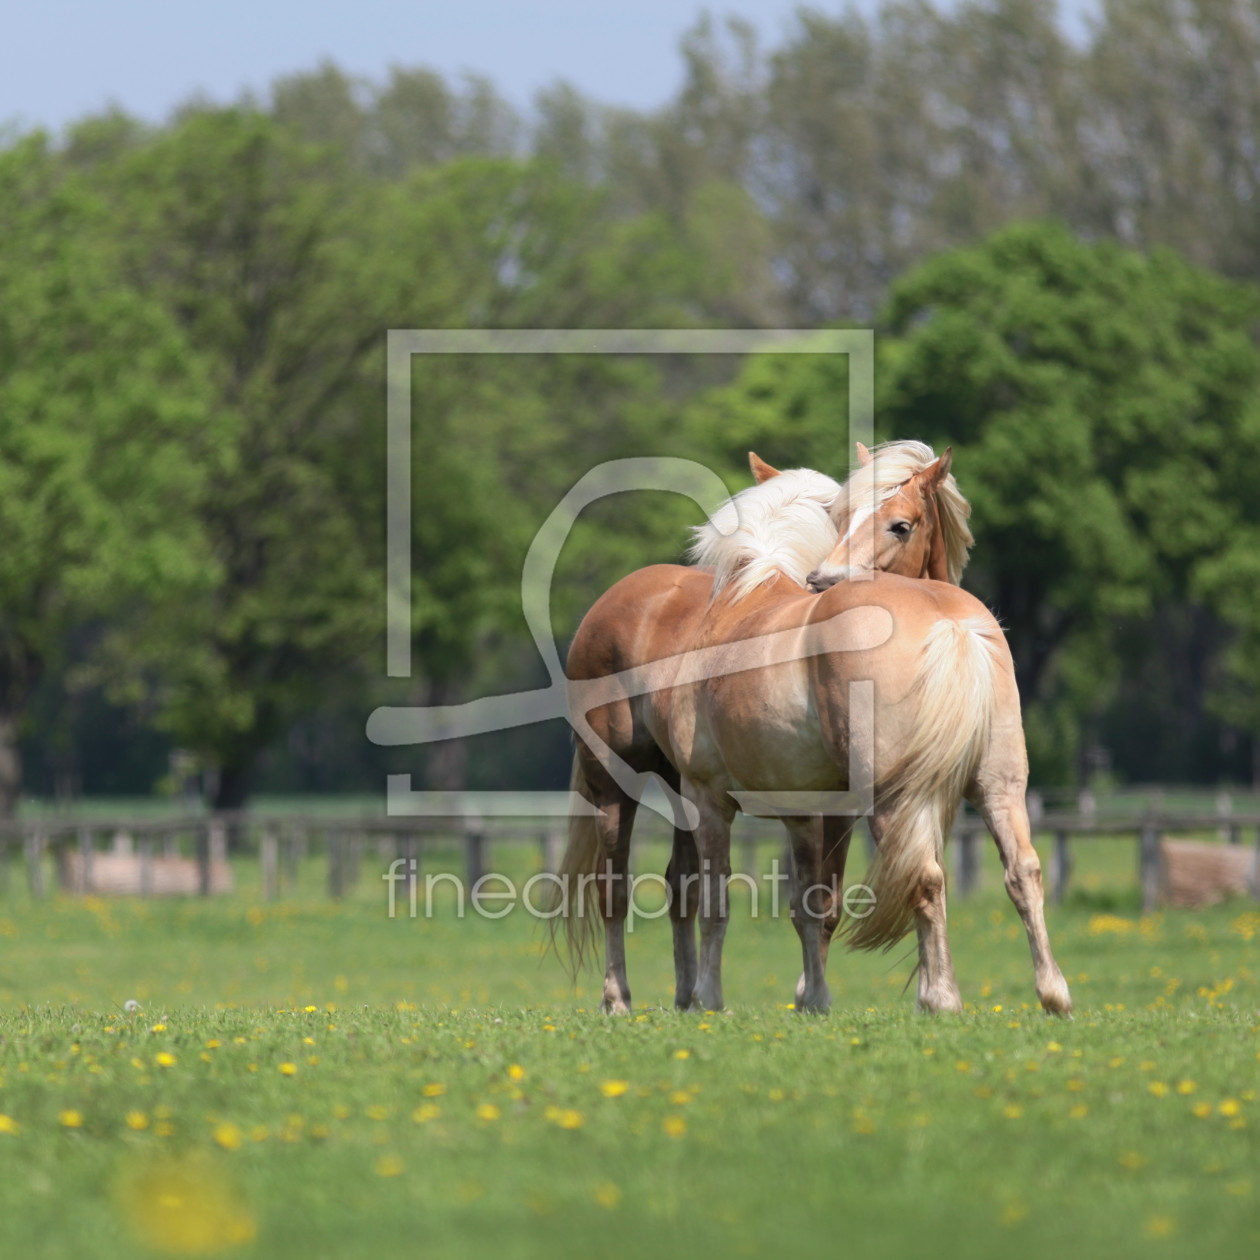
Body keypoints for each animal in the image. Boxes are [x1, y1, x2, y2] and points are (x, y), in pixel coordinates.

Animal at [556, 438, 1068, 1018]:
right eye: (840, 518)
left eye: (901, 525)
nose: (823, 581)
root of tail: (951, 624)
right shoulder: (812, 809)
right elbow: (808, 903)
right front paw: (808, 996)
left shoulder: (734, 800)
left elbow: (748, 901)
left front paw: (750, 996)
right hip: (995, 785)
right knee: (1019, 871)